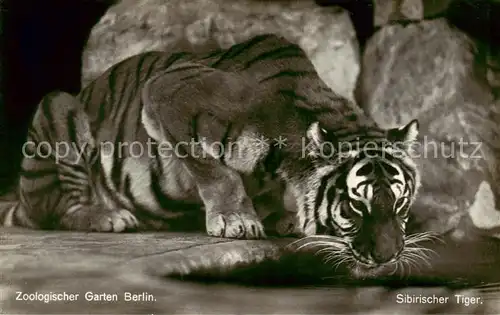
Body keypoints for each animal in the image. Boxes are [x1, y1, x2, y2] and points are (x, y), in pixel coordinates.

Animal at [0, 34, 422, 276]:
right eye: (353, 206)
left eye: (400, 203)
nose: (389, 257)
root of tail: (20, 199)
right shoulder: (166, 93)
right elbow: (216, 172)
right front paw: (238, 221)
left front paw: (278, 217)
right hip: (59, 109)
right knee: (57, 208)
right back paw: (108, 216)